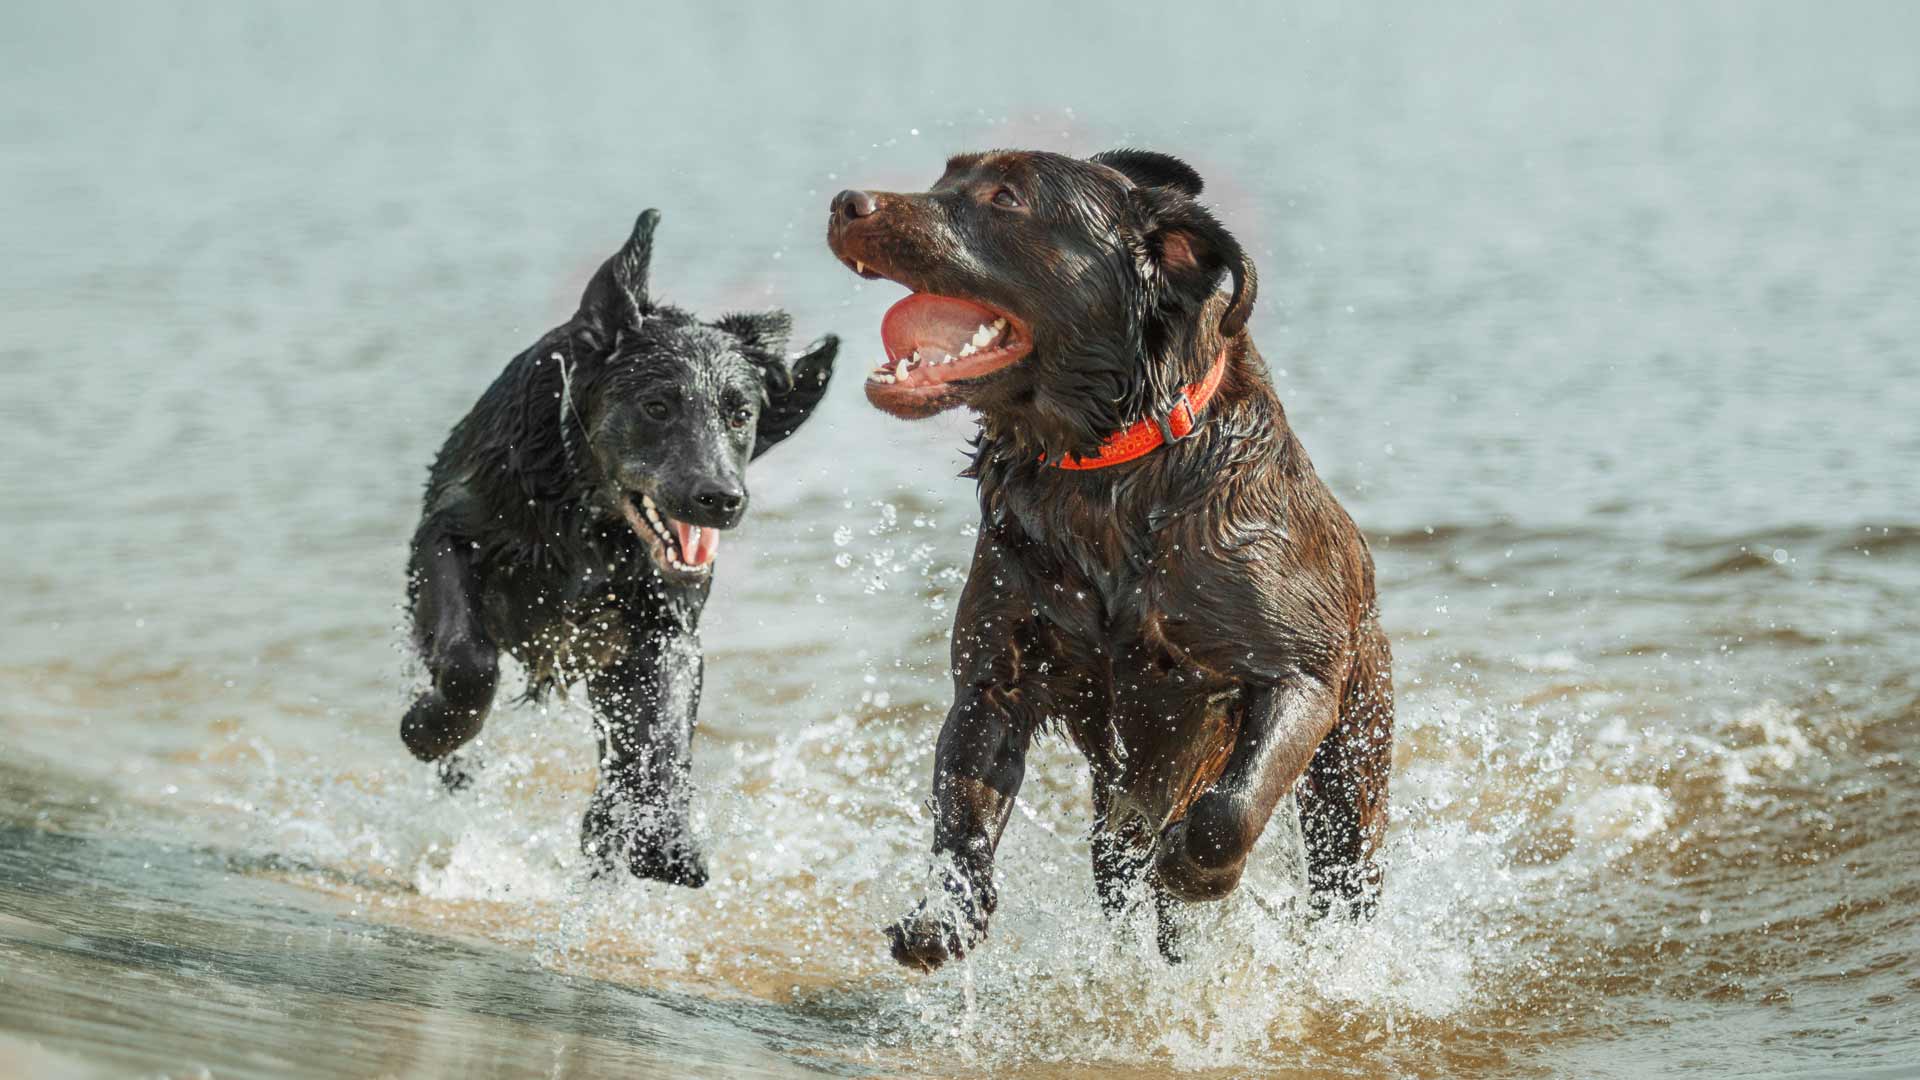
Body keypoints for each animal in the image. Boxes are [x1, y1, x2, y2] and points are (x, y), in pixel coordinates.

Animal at [401, 208, 829, 883]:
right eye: (656, 405)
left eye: (739, 413)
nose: (722, 499)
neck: (583, 512)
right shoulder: (446, 537)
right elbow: (470, 664)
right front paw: (426, 727)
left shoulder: (664, 623)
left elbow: (664, 732)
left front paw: (660, 838)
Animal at [825, 147, 1397, 960]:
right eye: (944, 179)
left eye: (1006, 197)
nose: (847, 203)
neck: (1105, 478)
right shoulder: (994, 676)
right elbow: (961, 806)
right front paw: (942, 915)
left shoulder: (1299, 674)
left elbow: (1227, 811)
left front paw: (1192, 869)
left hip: (1354, 745)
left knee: (1340, 869)